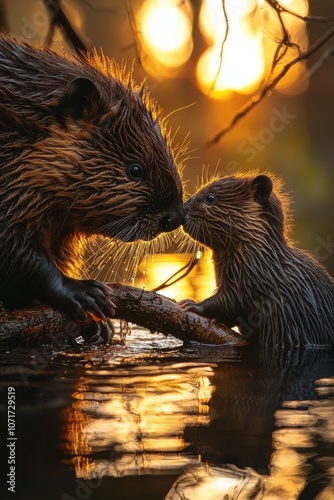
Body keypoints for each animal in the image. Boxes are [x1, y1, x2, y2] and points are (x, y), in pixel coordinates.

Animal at [180, 173, 334, 348]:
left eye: (210, 198)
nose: (183, 208)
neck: (263, 256)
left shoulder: (255, 277)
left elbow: (233, 301)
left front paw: (191, 305)